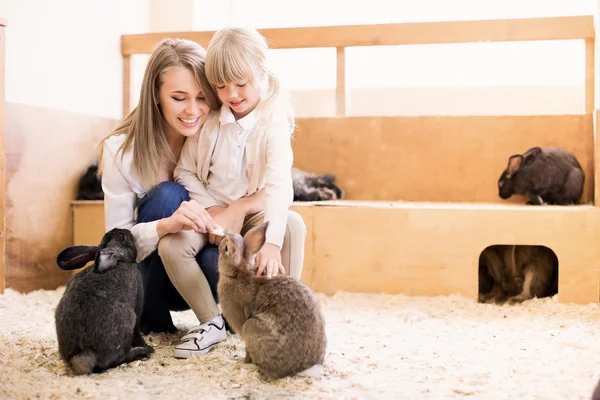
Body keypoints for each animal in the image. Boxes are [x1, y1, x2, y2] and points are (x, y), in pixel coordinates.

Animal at [54, 228, 152, 376]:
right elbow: (137, 333)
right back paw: (142, 352)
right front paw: (148, 347)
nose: (126, 230)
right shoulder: (137, 312)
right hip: (128, 321)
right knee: (118, 358)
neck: (121, 261)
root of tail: (84, 354)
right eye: (122, 237)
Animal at [217, 222, 328, 382]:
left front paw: (241, 363)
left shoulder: (242, 328)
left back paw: (247, 367)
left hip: (251, 328)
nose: (219, 245)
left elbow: (247, 352)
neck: (237, 274)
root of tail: (303, 369)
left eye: (226, 249)